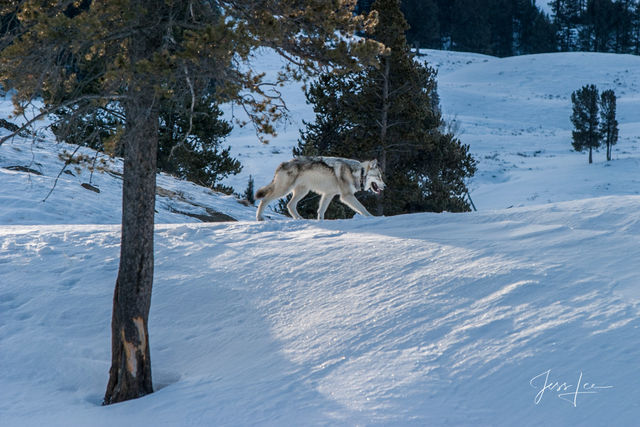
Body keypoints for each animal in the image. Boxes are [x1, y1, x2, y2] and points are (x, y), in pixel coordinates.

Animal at [255, 158, 384, 224]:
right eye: (379, 177)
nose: (385, 185)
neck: (358, 173)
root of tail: (282, 164)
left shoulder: (328, 194)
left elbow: (321, 211)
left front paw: (320, 221)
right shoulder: (347, 196)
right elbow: (363, 208)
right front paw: (373, 218)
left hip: (303, 192)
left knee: (290, 205)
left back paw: (300, 219)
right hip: (284, 190)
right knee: (264, 200)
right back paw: (259, 218)